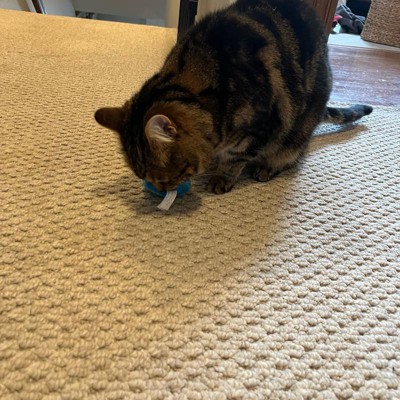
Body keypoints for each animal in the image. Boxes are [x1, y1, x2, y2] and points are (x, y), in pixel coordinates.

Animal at [95, 0, 372, 194]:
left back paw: (266, 167)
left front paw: (221, 177)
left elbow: (235, 160)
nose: (162, 190)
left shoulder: (260, 129)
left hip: (296, 132)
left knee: (290, 154)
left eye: (166, 178)